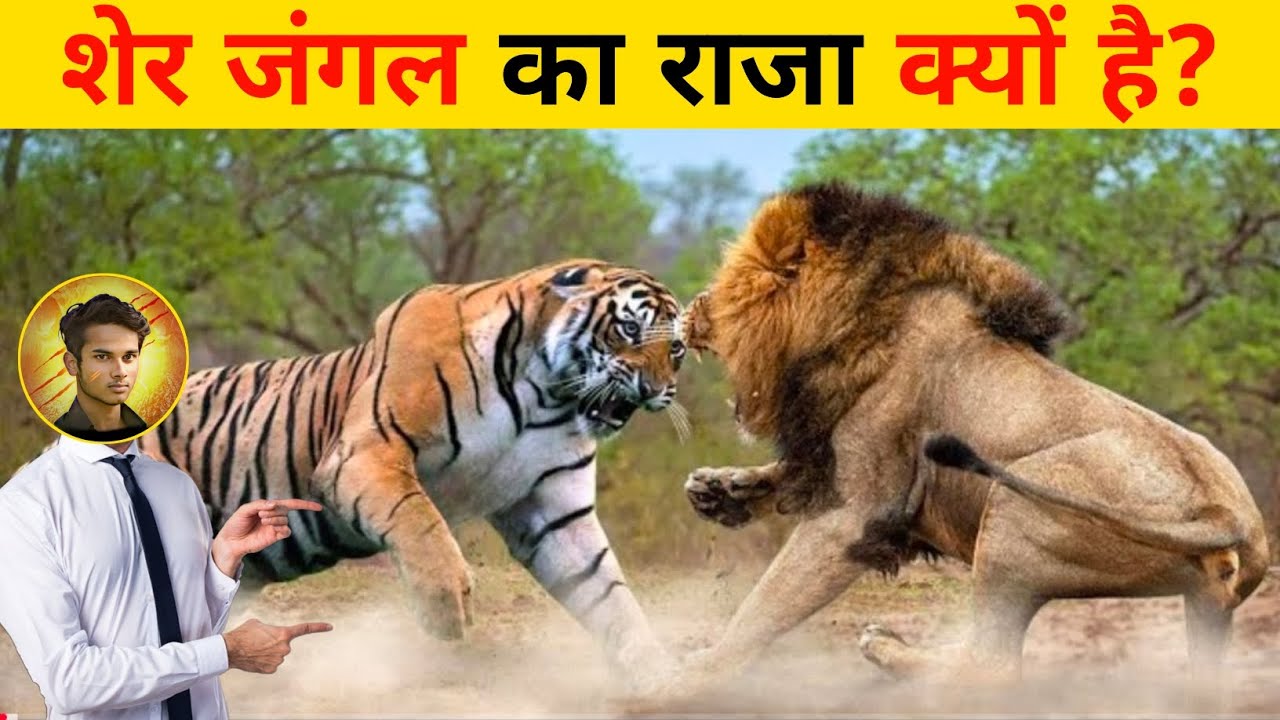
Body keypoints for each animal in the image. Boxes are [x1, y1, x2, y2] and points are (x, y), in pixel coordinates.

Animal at [661, 180, 1269, 696]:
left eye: (724, 288)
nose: (687, 309)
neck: (849, 324)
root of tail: (1233, 518)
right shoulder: (824, 453)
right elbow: (784, 482)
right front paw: (718, 490)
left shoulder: (861, 509)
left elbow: (767, 601)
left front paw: (691, 673)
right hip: (1201, 608)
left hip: (1015, 507)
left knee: (992, 665)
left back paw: (890, 651)